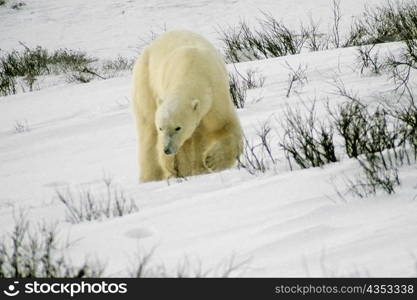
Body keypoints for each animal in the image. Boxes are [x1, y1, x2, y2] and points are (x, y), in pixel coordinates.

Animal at [133, 30, 242, 182]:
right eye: (161, 128)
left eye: (178, 127)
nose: (167, 150)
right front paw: (174, 167)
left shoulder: (216, 94)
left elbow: (224, 124)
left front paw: (212, 161)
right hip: (145, 82)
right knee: (147, 129)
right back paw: (151, 177)